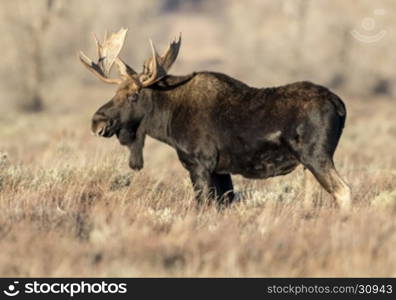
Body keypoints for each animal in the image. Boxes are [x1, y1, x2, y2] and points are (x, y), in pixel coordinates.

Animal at [79, 29, 352, 210]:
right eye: (115, 92)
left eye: (133, 95)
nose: (97, 122)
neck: (167, 122)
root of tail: (340, 105)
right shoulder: (222, 170)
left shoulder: (200, 163)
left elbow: (203, 206)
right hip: (309, 163)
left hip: (316, 156)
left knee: (344, 191)